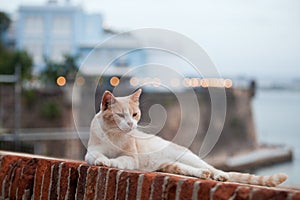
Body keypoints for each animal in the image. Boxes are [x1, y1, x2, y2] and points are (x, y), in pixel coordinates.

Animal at [85, 89, 288, 188]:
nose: (131, 124)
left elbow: (121, 159)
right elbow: (96, 156)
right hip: (173, 165)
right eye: (120, 115)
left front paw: (113, 162)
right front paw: (103, 160)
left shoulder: (131, 158)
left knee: (214, 168)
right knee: (192, 170)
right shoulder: (90, 153)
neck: (114, 134)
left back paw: (218, 175)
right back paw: (204, 175)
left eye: (135, 114)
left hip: (188, 156)